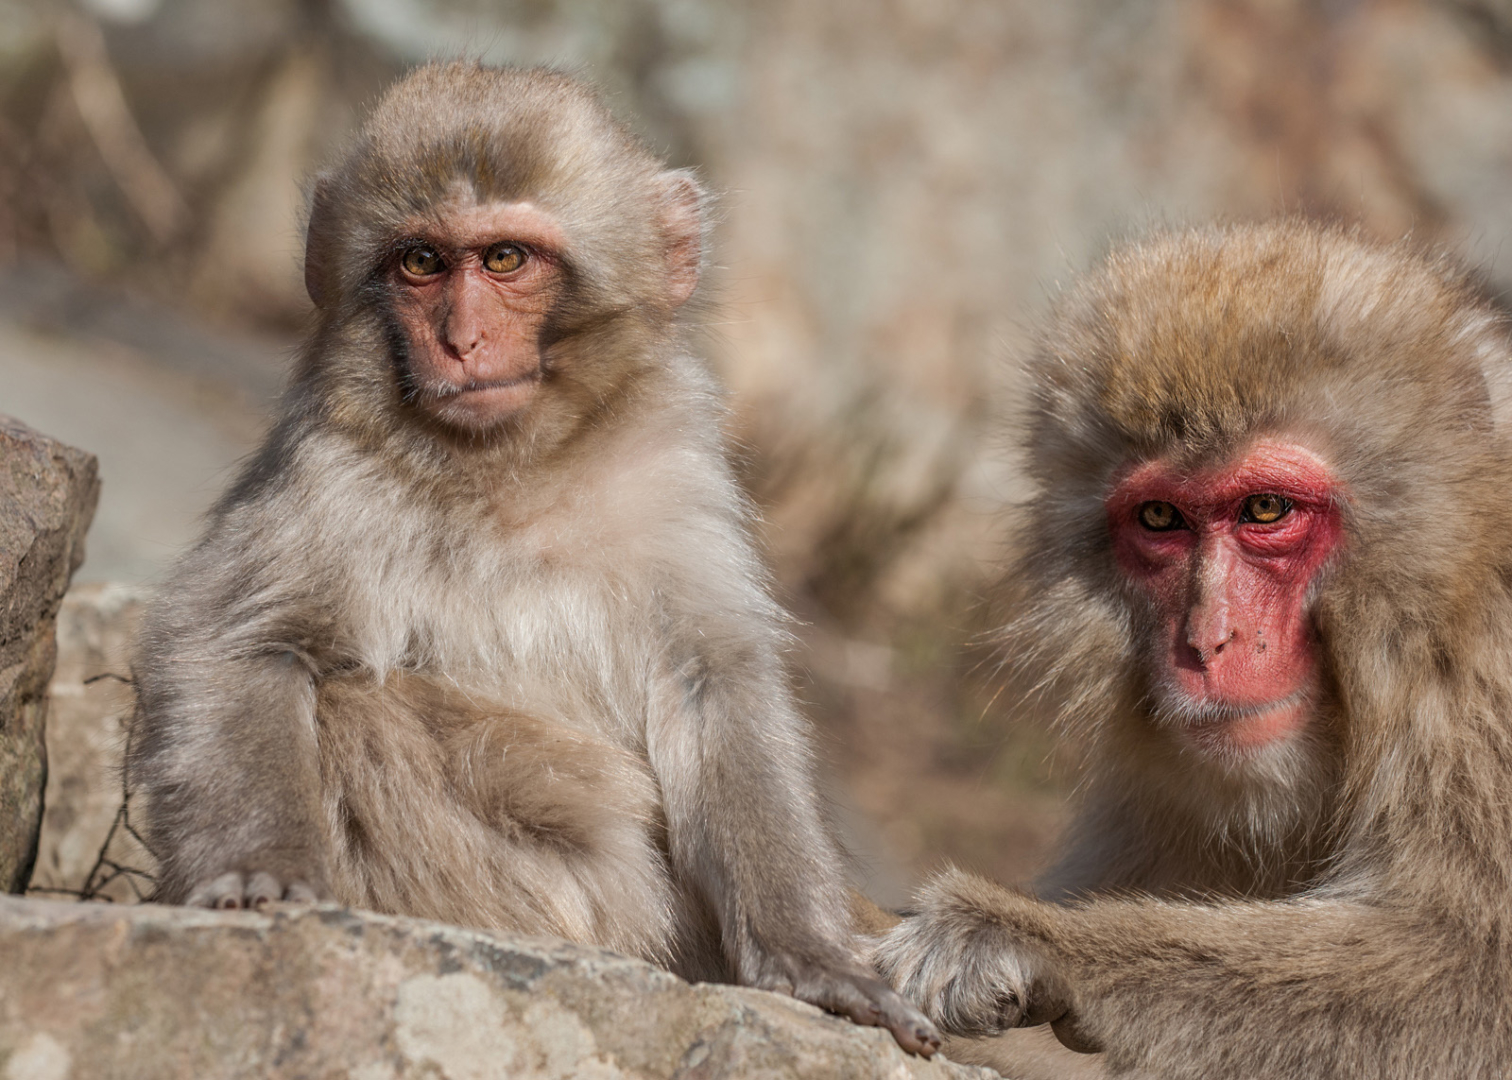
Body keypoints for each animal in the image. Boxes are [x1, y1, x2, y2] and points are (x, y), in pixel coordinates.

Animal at [130, 60, 937, 1052]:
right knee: (359, 708)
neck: (511, 470)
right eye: (422, 263)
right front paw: (263, 871)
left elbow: (713, 683)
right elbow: (240, 641)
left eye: (506, 259)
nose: (458, 340)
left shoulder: (675, 471)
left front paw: (809, 955)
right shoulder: (326, 473)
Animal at [883, 220, 1512, 1076]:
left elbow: (1476, 982)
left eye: (1266, 509)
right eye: (1160, 519)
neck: (1451, 594)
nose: (1207, 642)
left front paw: (1034, 940)